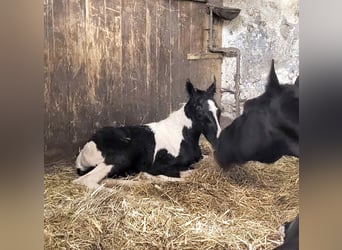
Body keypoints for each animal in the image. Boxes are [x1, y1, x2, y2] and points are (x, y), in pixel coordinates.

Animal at [72, 79, 222, 188]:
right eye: (198, 109)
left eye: (219, 110)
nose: (217, 139)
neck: (183, 136)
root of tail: (82, 153)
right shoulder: (160, 166)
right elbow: (189, 172)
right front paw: (154, 176)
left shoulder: (200, 157)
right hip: (118, 158)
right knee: (85, 181)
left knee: (105, 180)